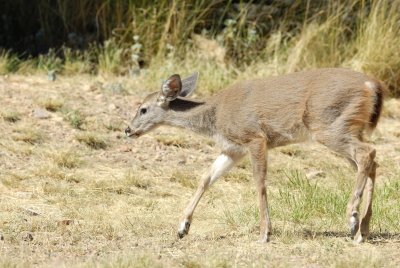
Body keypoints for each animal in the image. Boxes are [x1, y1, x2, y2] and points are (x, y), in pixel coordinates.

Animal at [125, 68, 384, 243]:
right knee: (372, 161)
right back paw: (362, 230)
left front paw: (264, 233)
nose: (127, 130)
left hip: (329, 125)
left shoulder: (255, 137)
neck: (214, 117)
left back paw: (352, 216)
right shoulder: (233, 149)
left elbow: (259, 182)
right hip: (348, 128)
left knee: (367, 153)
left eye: (143, 109)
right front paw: (182, 227)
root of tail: (372, 85)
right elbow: (206, 177)